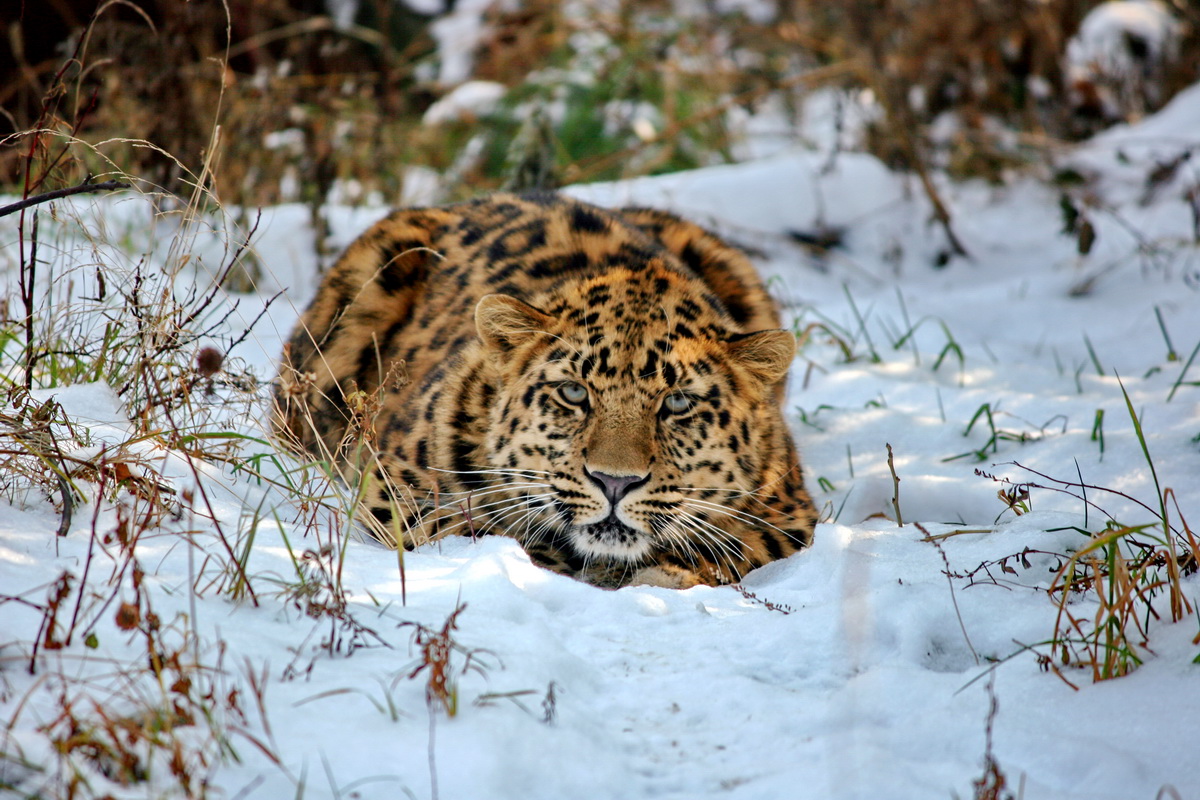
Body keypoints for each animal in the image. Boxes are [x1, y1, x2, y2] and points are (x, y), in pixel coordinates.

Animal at [272, 191, 816, 587]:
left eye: (677, 403)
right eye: (574, 394)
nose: (614, 483)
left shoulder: (789, 515)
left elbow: (732, 545)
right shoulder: (397, 482)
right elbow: (476, 530)